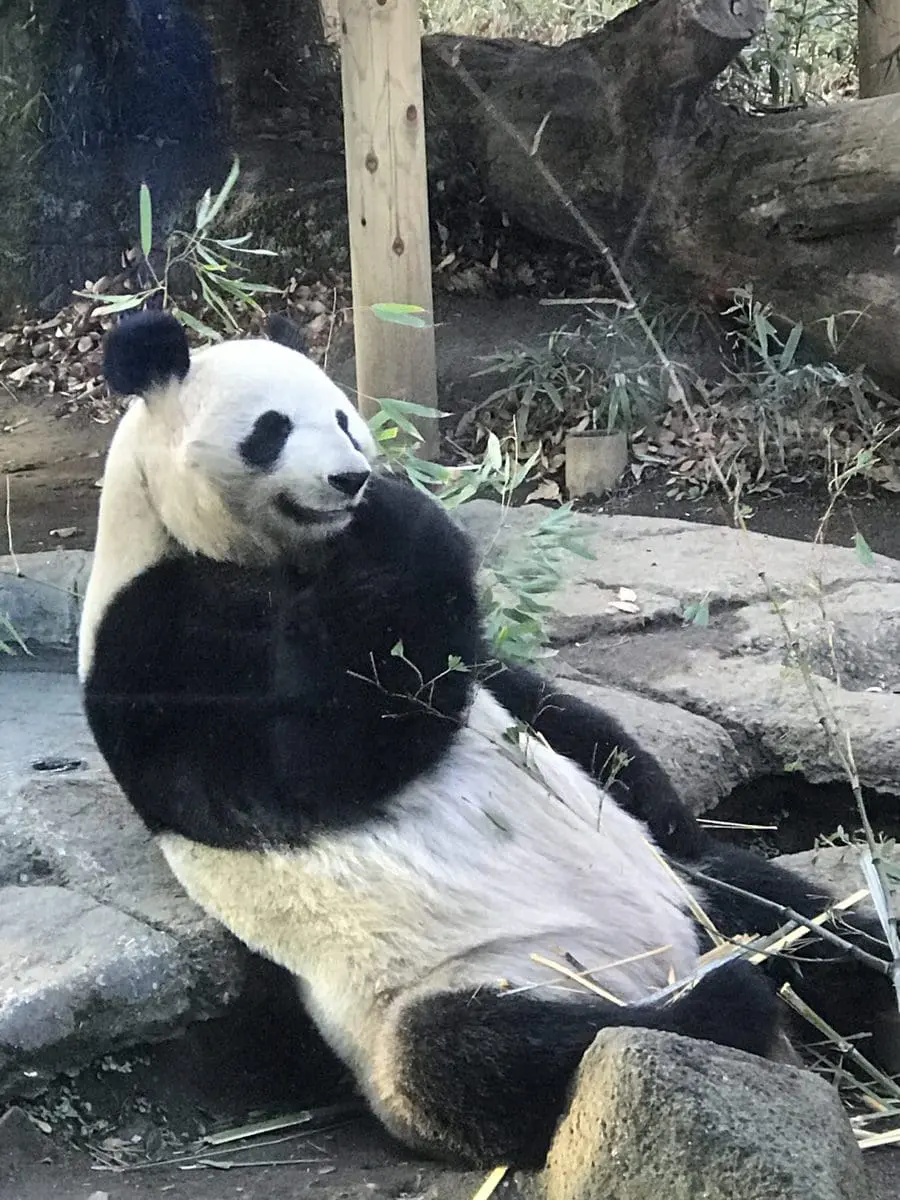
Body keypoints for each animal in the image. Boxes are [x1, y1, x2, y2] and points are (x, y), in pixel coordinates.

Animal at [78, 309, 898, 1171]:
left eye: (342, 417)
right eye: (272, 429)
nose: (349, 479)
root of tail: (662, 960)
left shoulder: (477, 673)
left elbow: (534, 704)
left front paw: (661, 798)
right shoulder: (155, 633)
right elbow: (301, 759)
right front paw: (400, 516)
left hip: (697, 895)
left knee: (799, 919)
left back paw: (855, 990)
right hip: (442, 993)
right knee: (489, 1057)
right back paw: (723, 1005)